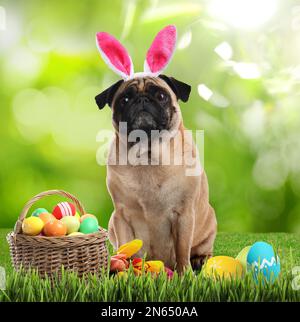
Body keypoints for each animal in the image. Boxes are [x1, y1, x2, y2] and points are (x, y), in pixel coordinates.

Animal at [95, 75, 217, 272]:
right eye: (125, 99)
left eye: (161, 96)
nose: (142, 100)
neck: (148, 157)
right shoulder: (122, 217)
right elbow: (125, 246)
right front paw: (124, 270)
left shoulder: (183, 215)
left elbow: (182, 249)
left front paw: (185, 273)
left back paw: (200, 259)